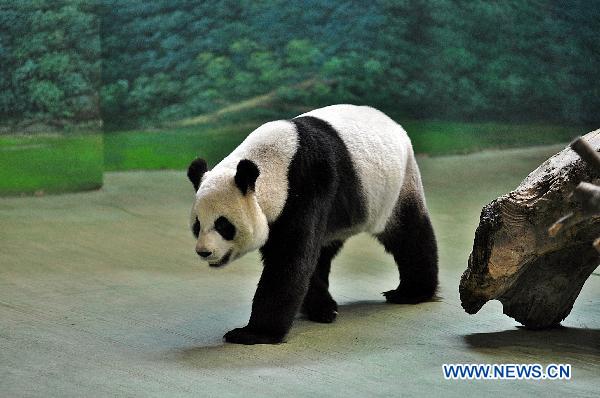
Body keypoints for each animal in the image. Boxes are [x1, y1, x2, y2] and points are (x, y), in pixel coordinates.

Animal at [186, 104, 436, 344]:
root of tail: (394, 123)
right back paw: (324, 307)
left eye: (223, 225)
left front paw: (252, 334)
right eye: (197, 226)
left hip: (395, 188)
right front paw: (320, 308)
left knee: (409, 233)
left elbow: (291, 260)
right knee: (324, 249)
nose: (204, 252)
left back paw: (411, 293)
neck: (274, 165)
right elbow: (302, 260)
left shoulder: (307, 187)